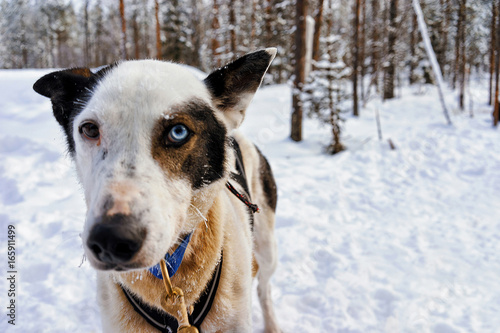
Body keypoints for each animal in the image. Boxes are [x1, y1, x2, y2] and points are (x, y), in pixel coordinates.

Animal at [34, 49, 282, 332]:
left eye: (178, 132)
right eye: (89, 129)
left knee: (264, 288)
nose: (111, 239)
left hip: (267, 248)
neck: (168, 271)